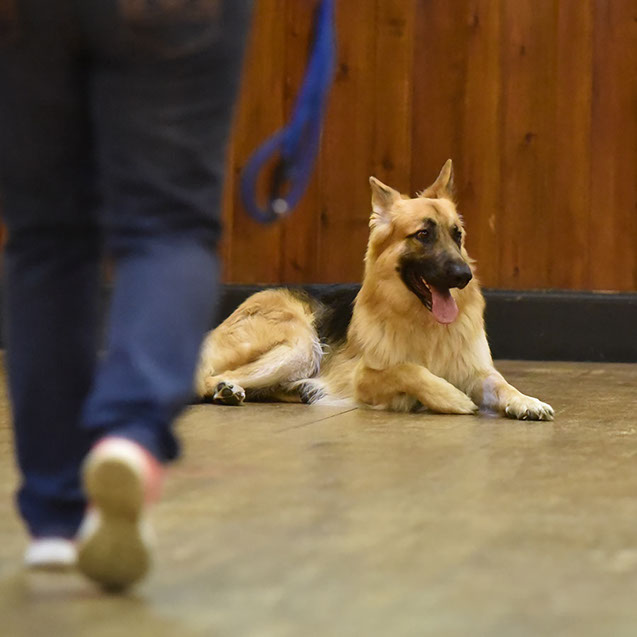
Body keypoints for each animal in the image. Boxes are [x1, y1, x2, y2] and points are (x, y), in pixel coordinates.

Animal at [196, 159, 556, 420]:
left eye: (457, 235)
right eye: (423, 235)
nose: (464, 276)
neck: (424, 323)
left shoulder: (479, 372)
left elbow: (502, 383)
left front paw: (526, 400)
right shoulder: (367, 376)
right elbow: (408, 369)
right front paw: (450, 397)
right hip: (300, 344)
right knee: (204, 379)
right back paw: (225, 390)